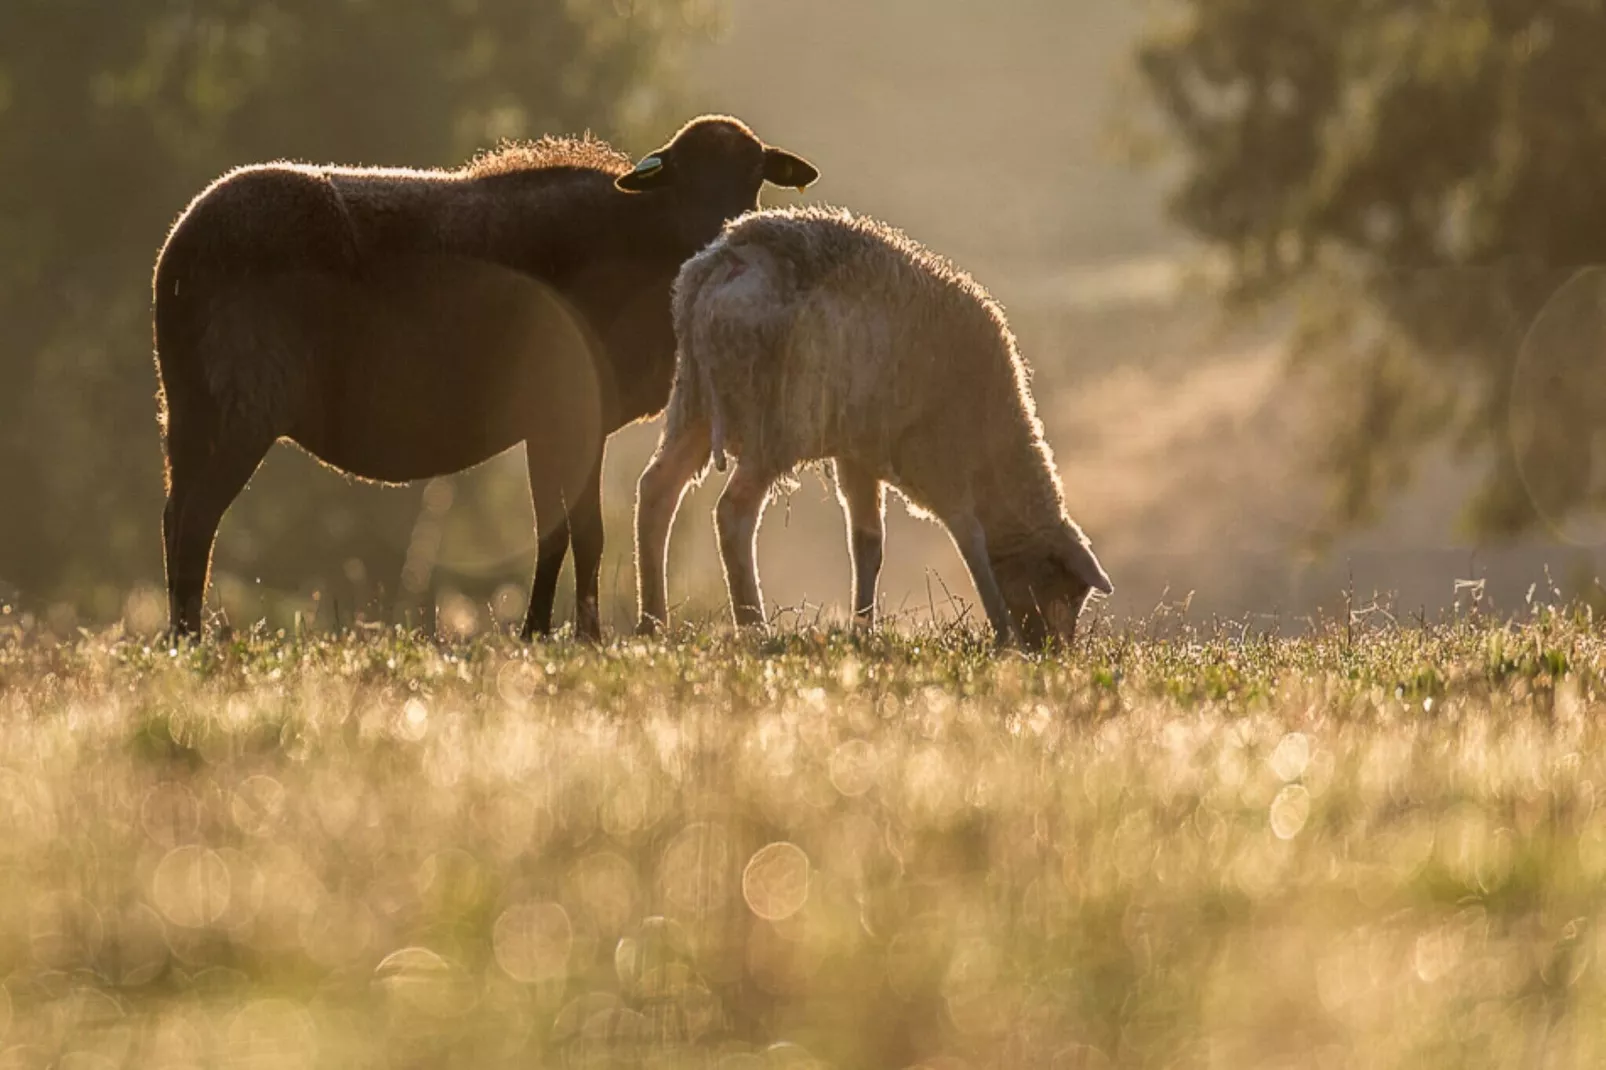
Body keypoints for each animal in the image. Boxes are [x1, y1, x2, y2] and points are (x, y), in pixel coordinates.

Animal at [156, 113, 822, 636]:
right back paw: (191, 639)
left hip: (189, 409)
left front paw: (552, 634)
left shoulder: (567, 424)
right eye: (682, 177)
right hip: (242, 405)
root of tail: (178, 253)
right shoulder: (561, 416)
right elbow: (573, 530)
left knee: (174, 515)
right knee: (197, 520)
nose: (721, 241)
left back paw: (179, 637)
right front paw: (568, 635)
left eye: (753, 181)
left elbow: (568, 532)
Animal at [632, 204, 1111, 645]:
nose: (1054, 650)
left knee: (657, 490)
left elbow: (868, 543)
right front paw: (1003, 635)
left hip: (693, 402)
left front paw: (864, 627)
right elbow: (970, 541)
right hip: (776, 423)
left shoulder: (857, 455)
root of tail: (728, 259)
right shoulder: (941, 460)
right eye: (1064, 589)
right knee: (733, 513)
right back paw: (753, 625)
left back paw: (652, 621)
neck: (998, 452)